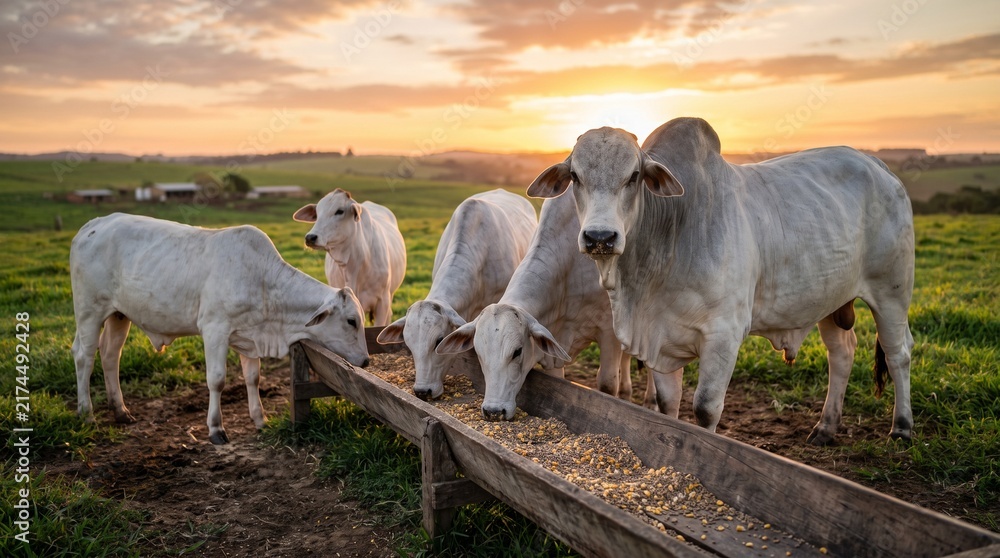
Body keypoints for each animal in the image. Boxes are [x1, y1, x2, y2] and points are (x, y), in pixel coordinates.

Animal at [70, 213, 370, 445]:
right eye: (351, 321)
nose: (366, 360)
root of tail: (93, 224)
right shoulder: (215, 330)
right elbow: (217, 380)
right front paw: (216, 428)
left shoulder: (250, 336)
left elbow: (253, 378)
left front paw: (260, 419)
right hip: (89, 311)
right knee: (84, 356)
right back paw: (86, 413)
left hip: (119, 315)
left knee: (110, 355)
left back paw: (120, 410)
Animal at [527, 117, 914, 445]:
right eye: (575, 175)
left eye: (634, 175)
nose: (600, 237)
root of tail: (876, 164)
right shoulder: (659, 336)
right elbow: (668, 404)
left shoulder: (724, 334)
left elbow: (705, 408)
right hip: (829, 299)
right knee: (842, 353)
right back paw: (826, 427)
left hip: (892, 292)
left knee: (899, 352)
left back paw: (902, 428)